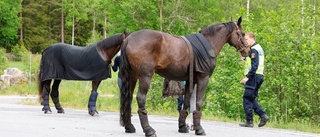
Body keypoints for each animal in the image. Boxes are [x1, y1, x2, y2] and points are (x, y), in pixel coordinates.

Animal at [120, 17, 250, 136]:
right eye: (243, 34)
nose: (248, 51)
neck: (209, 43)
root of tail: (129, 39)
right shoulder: (203, 78)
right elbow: (198, 102)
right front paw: (199, 128)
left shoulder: (190, 80)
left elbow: (187, 101)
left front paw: (182, 126)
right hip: (145, 76)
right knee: (140, 98)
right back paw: (148, 130)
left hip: (132, 76)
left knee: (128, 98)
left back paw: (129, 127)